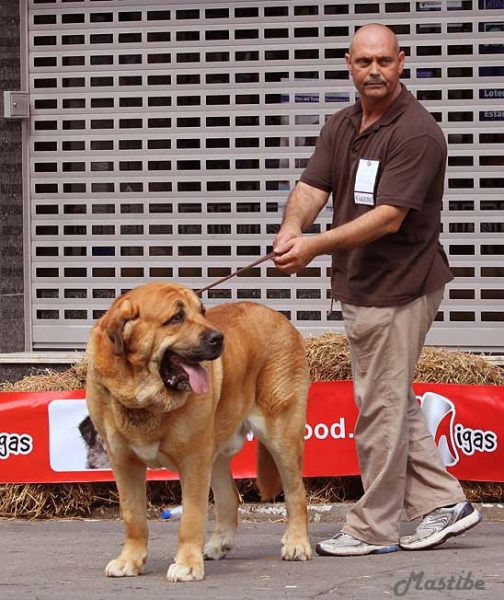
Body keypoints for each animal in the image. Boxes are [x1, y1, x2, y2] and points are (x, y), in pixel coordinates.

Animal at [84, 282, 310, 580]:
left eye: (202, 312)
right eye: (176, 317)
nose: (218, 338)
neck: (145, 400)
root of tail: (279, 317)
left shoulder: (193, 460)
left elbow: (191, 518)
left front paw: (187, 565)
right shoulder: (123, 462)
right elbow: (133, 517)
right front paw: (129, 561)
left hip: (281, 434)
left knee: (296, 492)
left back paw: (296, 543)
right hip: (216, 451)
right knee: (230, 497)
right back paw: (219, 543)